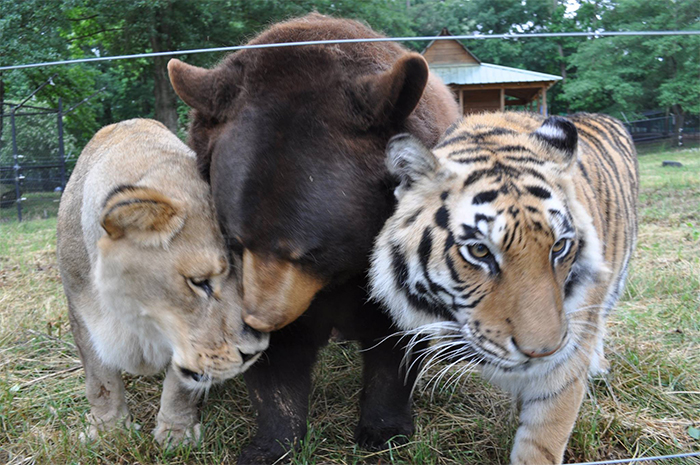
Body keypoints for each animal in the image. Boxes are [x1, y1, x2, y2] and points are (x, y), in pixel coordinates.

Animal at [56, 118, 270, 446]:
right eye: (199, 282)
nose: (254, 352)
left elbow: (181, 386)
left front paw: (176, 434)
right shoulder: (82, 315)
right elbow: (100, 380)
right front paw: (109, 431)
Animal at [168, 12, 460, 462]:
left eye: (310, 252)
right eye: (235, 242)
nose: (258, 320)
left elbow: (396, 338)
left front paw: (383, 431)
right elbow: (280, 362)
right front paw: (271, 443)